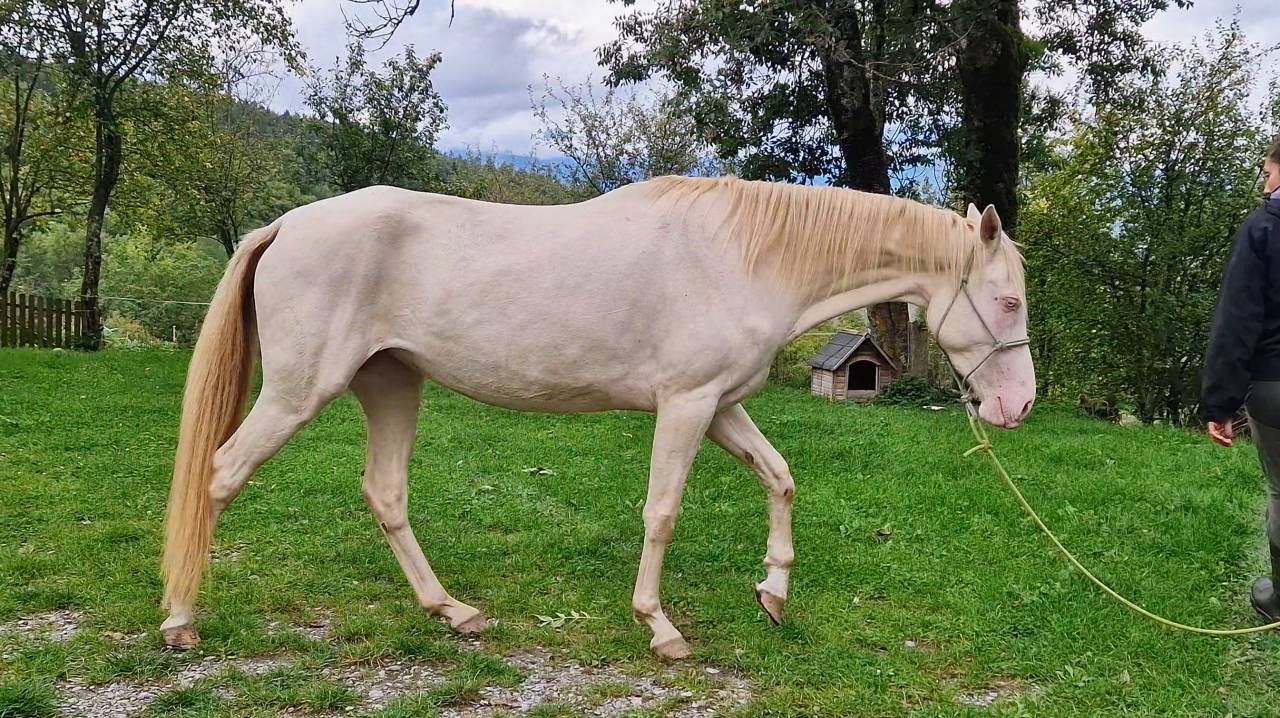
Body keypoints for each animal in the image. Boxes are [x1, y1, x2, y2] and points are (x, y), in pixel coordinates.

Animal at [159, 175, 1035, 659]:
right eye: (1007, 300)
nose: (1018, 404)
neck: (743, 255)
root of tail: (286, 225)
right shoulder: (686, 405)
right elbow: (662, 512)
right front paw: (661, 629)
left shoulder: (721, 406)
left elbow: (781, 479)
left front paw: (773, 592)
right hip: (299, 391)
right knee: (220, 475)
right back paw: (181, 621)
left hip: (392, 385)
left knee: (385, 493)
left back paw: (453, 612)